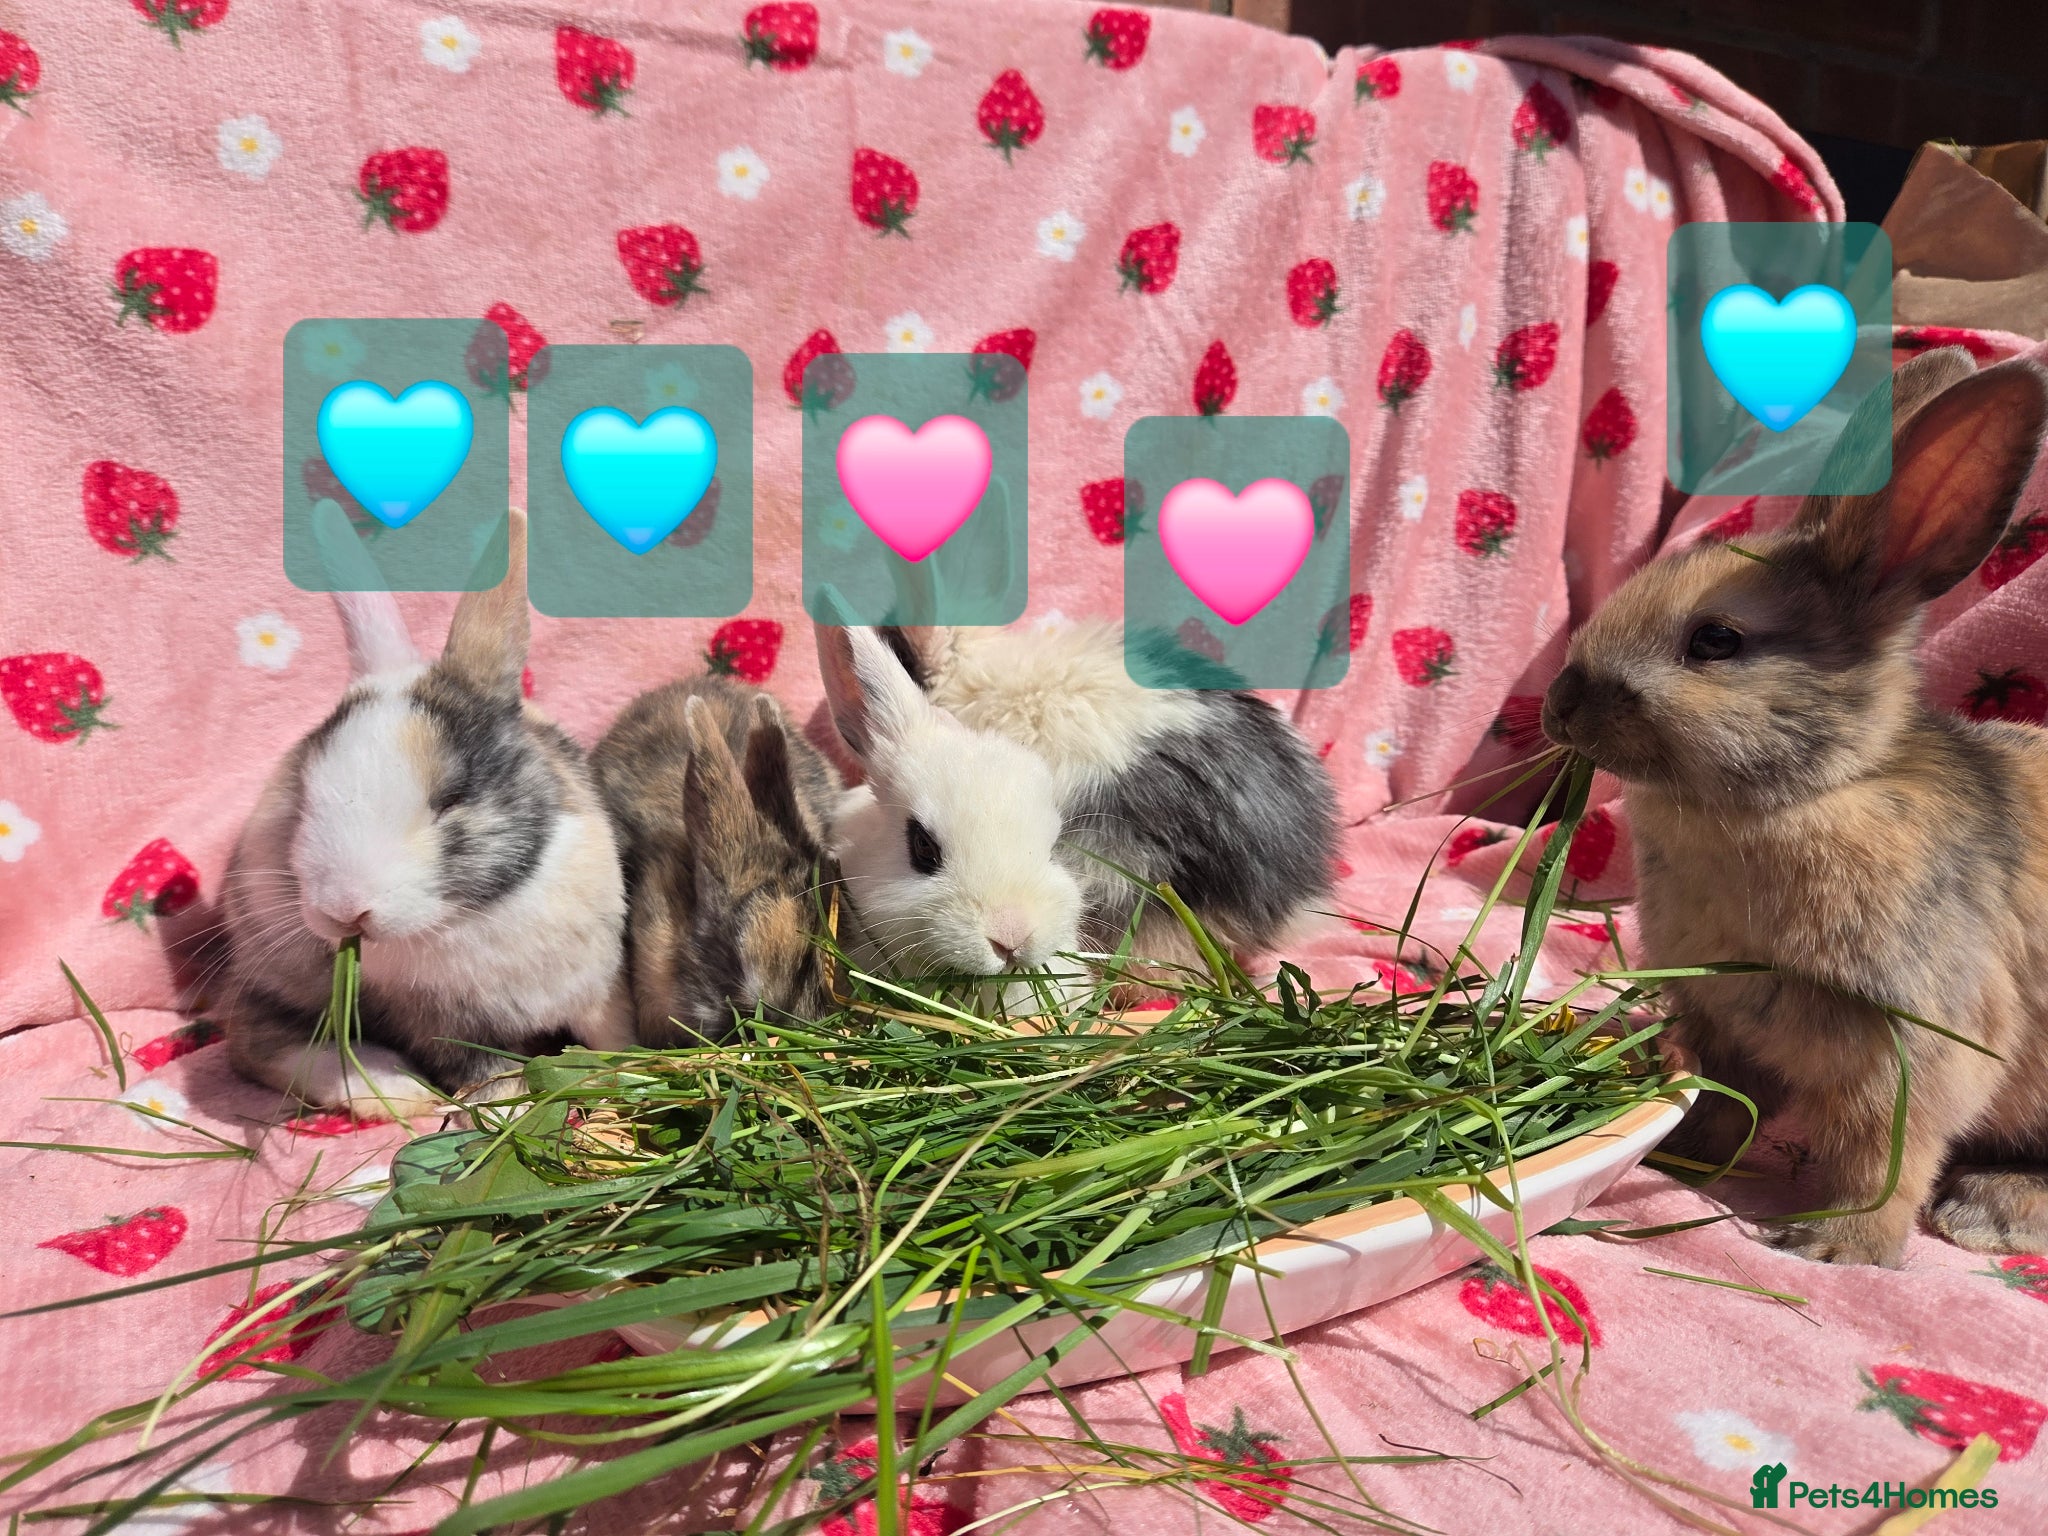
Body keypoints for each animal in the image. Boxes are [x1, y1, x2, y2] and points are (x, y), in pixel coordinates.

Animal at [218, 506, 630, 1120]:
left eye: (451, 798)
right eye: (305, 793)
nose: (345, 911)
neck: (468, 918)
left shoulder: (601, 991)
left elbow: (620, 1039)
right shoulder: (453, 1030)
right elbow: (491, 1077)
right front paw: (503, 1115)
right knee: (252, 1040)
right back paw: (395, 1089)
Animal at [1541, 345, 2048, 1267]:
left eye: (1716, 640)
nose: (1560, 702)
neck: (1813, 791)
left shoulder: (1911, 1052)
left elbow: (1888, 1156)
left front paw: (1839, 1247)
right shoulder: (1717, 1019)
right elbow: (1717, 1100)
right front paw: (1672, 1151)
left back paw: (1985, 1211)